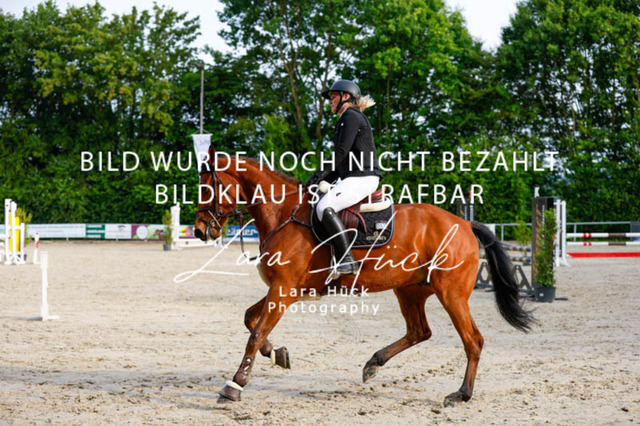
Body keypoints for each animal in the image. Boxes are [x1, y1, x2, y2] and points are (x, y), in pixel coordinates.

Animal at [193, 146, 534, 406]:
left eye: (206, 188)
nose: (199, 231)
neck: (283, 214)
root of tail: (464, 224)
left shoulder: (284, 289)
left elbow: (254, 333)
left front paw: (234, 386)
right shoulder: (285, 289)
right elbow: (251, 321)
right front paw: (278, 354)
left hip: (451, 294)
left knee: (472, 340)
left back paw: (461, 394)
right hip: (410, 290)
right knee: (419, 331)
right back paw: (373, 364)